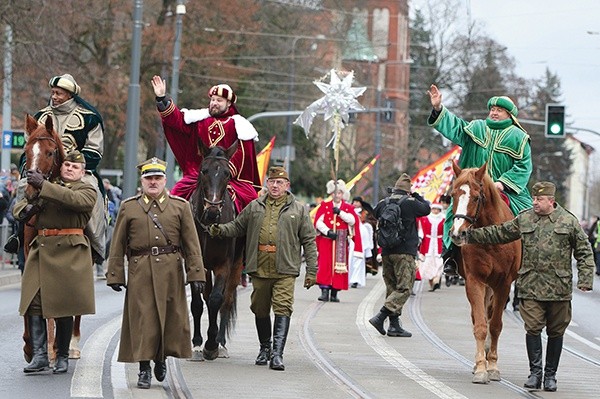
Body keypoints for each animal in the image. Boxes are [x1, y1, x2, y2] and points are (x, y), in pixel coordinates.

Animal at [188, 141, 244, 362]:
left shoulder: (224, 265)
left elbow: (216, 300)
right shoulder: (197, 265)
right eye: (204, 170)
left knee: (226, 300)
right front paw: (197, 344)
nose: (212, 211)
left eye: (227, 174)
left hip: (237, 265)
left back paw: (220, 343)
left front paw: (211, 344)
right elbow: (197, 302)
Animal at [450, 162, 520, 384]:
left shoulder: (503, 284)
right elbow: (480, 325)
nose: (458, 233)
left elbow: (495, 325)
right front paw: (481, 368)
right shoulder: (475, 280)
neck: (490, 238)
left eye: (476, 197)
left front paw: (493, 366)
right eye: (453, 194)